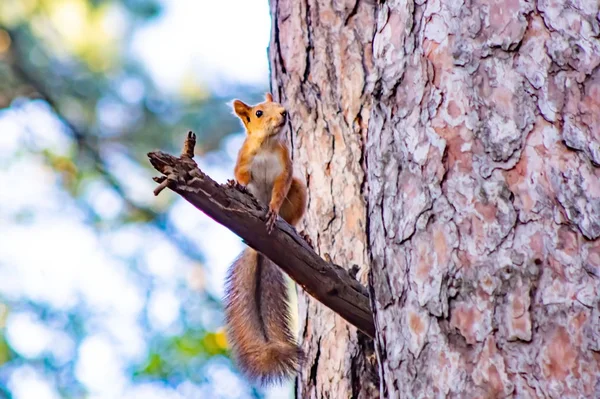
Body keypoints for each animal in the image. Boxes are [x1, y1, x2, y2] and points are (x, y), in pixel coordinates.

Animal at [224, 93, 310, 384]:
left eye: (279, 105)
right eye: (259, 113)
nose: (284, 113)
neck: (267, 145)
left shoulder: (286, 170)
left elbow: (279, 191)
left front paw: (272, 211)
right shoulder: (243, 160)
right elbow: (241, 176)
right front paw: (236, 185)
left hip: (299, 190)